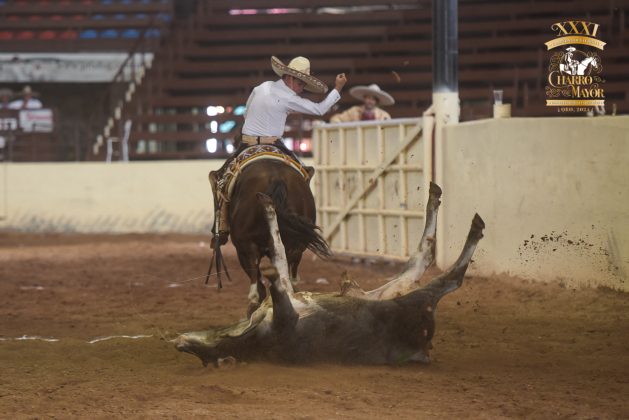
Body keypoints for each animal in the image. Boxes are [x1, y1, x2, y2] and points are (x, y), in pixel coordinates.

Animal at [175, 183, 486, 364]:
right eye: (206, 356)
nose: (180, 343)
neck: (251, 339)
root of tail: (424, 344)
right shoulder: (286, 312)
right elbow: (278, 266)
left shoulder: (287, 299)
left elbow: (279, 252)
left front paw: (268, 206)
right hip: (408, 298)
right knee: (440, 270)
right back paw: (469, 223)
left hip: (388, 293)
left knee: (427, 259)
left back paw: (441, 200)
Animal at [213, 158, 332, 316]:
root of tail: (277, 177)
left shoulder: (242, 249)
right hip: (295, 245)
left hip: (246, 245)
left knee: (254, 269)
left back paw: (254, 304)